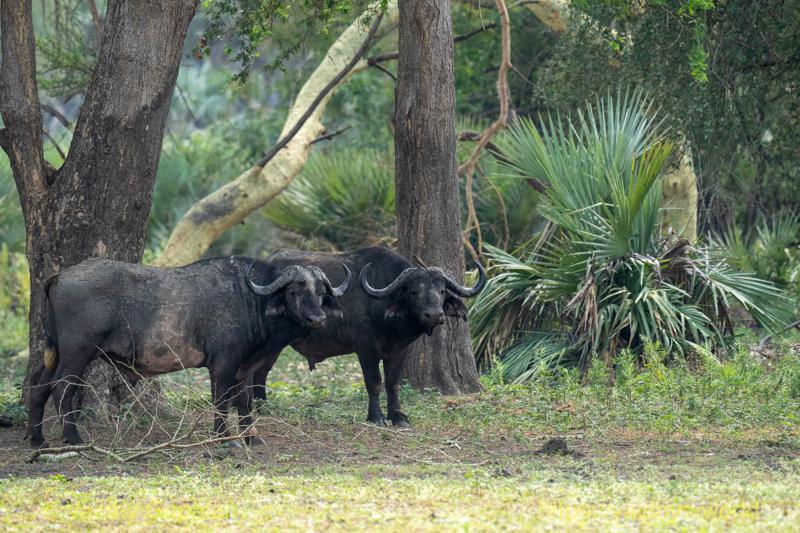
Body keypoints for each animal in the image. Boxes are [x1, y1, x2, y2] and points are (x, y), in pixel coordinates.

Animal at [25, 256, 350, 448]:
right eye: (294, 292)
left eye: (321, 292)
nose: (318, 319)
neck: (250, 299)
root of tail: (58, 277)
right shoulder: (222, 365)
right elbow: (221, 401)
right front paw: (225, 439)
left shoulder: (245, 368)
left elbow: (244, 401)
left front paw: (251, 437)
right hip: (77, 353)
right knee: (61, 388)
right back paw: (73, 438)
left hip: (54, 352)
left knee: (38, 385)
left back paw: (37, 438)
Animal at [253, 247, 486, 427]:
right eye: (413, 291)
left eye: (442, 290)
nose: (435, 315)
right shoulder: (366, 348)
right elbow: (374, 382)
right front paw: (376, 417)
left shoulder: (399, 351)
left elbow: (392, 383)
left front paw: (398, 417)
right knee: (260, 372)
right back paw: (260, 408)